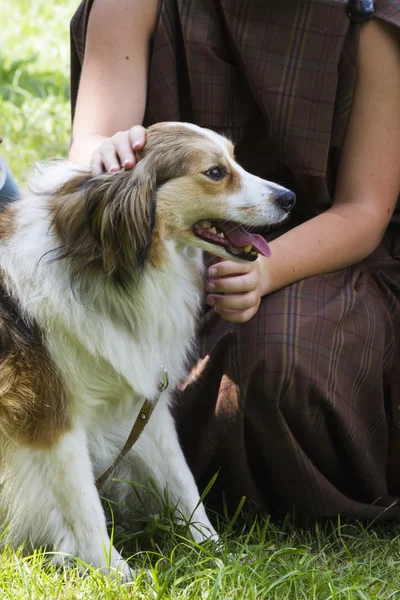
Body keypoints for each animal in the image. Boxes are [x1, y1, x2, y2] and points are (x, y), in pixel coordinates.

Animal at [0, 122, 294, 576]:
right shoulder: (46, 416)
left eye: (234, 159)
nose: (289, 198)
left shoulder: (142, 404)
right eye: (215, 172)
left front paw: (219, 555)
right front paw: (115, 576)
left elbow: (183, 482)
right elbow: (83, 506)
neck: (108, 268)